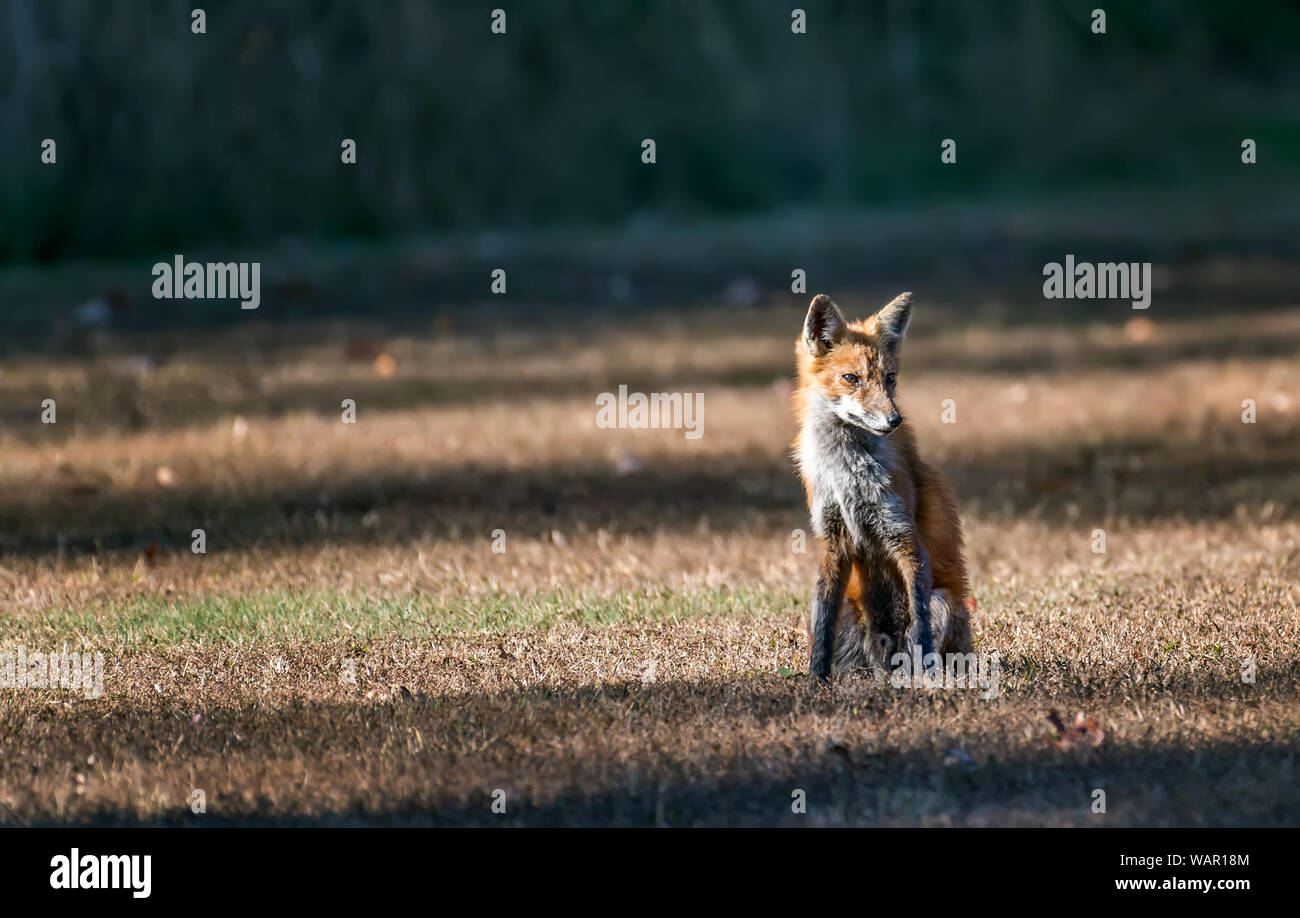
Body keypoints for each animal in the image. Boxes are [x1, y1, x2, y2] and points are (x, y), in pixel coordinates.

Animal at [790, 293, 977, 681]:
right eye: (851, 378)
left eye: (890, 378)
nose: (894, 420)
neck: (848, 473)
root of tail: (882, 662)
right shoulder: (832, 540)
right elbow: (824, 627)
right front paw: (816, 679)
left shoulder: (904, 536)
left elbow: (919, 621)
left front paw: (926, 676)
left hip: (943, 602)